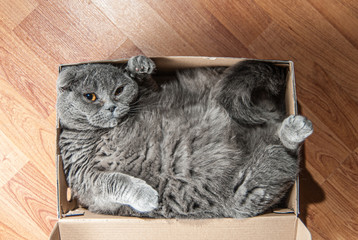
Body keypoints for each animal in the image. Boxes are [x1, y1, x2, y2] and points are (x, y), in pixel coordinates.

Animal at [57, 55, 312, 218]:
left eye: (119, 90)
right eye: (90, 96)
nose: (111, 107)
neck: (104, 131)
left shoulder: (153, 95)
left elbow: (149, 84)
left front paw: (139, 66)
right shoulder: (84, 175)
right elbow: (115, 181)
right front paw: (147, 197)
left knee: (286, 149)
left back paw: (296, 126)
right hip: (249, 190)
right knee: (284, 152)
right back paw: (295, 127)